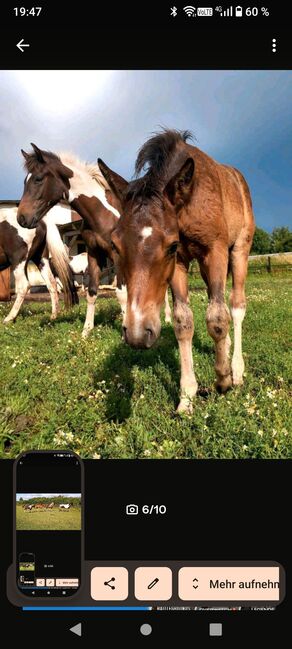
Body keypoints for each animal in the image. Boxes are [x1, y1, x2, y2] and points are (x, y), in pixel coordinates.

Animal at [98, 129, 256, 412]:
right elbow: (184, 321)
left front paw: (223, 379)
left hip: (239, 249)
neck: (189, 203)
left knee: (236, 306)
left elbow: (217, 318)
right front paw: (186, 396)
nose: (137, 334)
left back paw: (236, 369)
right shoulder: (181, 263)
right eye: (114, 243)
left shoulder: (214, 250)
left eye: (171, 245)